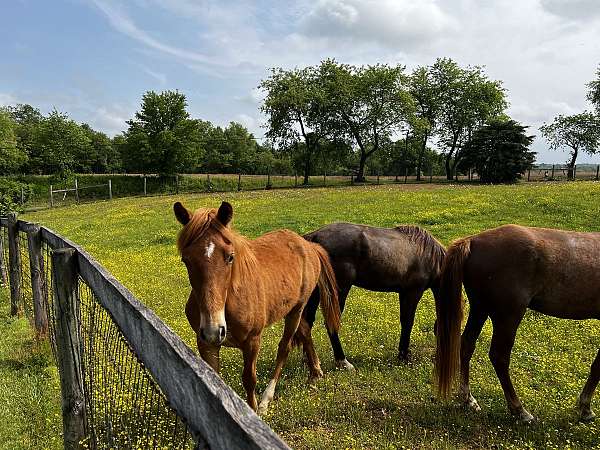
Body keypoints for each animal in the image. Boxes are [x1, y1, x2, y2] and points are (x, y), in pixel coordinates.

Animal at [175, 202, 342, 414]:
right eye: (186, 260)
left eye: (230, 257)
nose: (214, 329)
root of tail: (308, 245)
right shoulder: (206, 343)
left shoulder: (252, 340)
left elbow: (249, 379)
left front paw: (253, 410)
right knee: (305, 331)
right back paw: (315, 372)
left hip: (296, 310)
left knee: (284, 347)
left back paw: (266, 399)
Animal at [300, 221, 446, 372]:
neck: (428, 255)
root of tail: (315, 236)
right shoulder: (413, 292)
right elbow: (408, 322)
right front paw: (404, 356)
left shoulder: (404, 293)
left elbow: (404, 321)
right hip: (339, 290)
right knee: (331, 322)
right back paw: (343, 361)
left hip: (316, 291)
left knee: (308, 321)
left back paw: (310, 361)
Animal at [436, 223, 600, 424]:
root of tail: (473, 240)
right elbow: (598, 366)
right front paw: (585, 408)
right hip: (508, 316)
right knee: (499, 357)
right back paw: (519, 409)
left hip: (480, 308)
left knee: (467, 344)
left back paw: (469, 399)